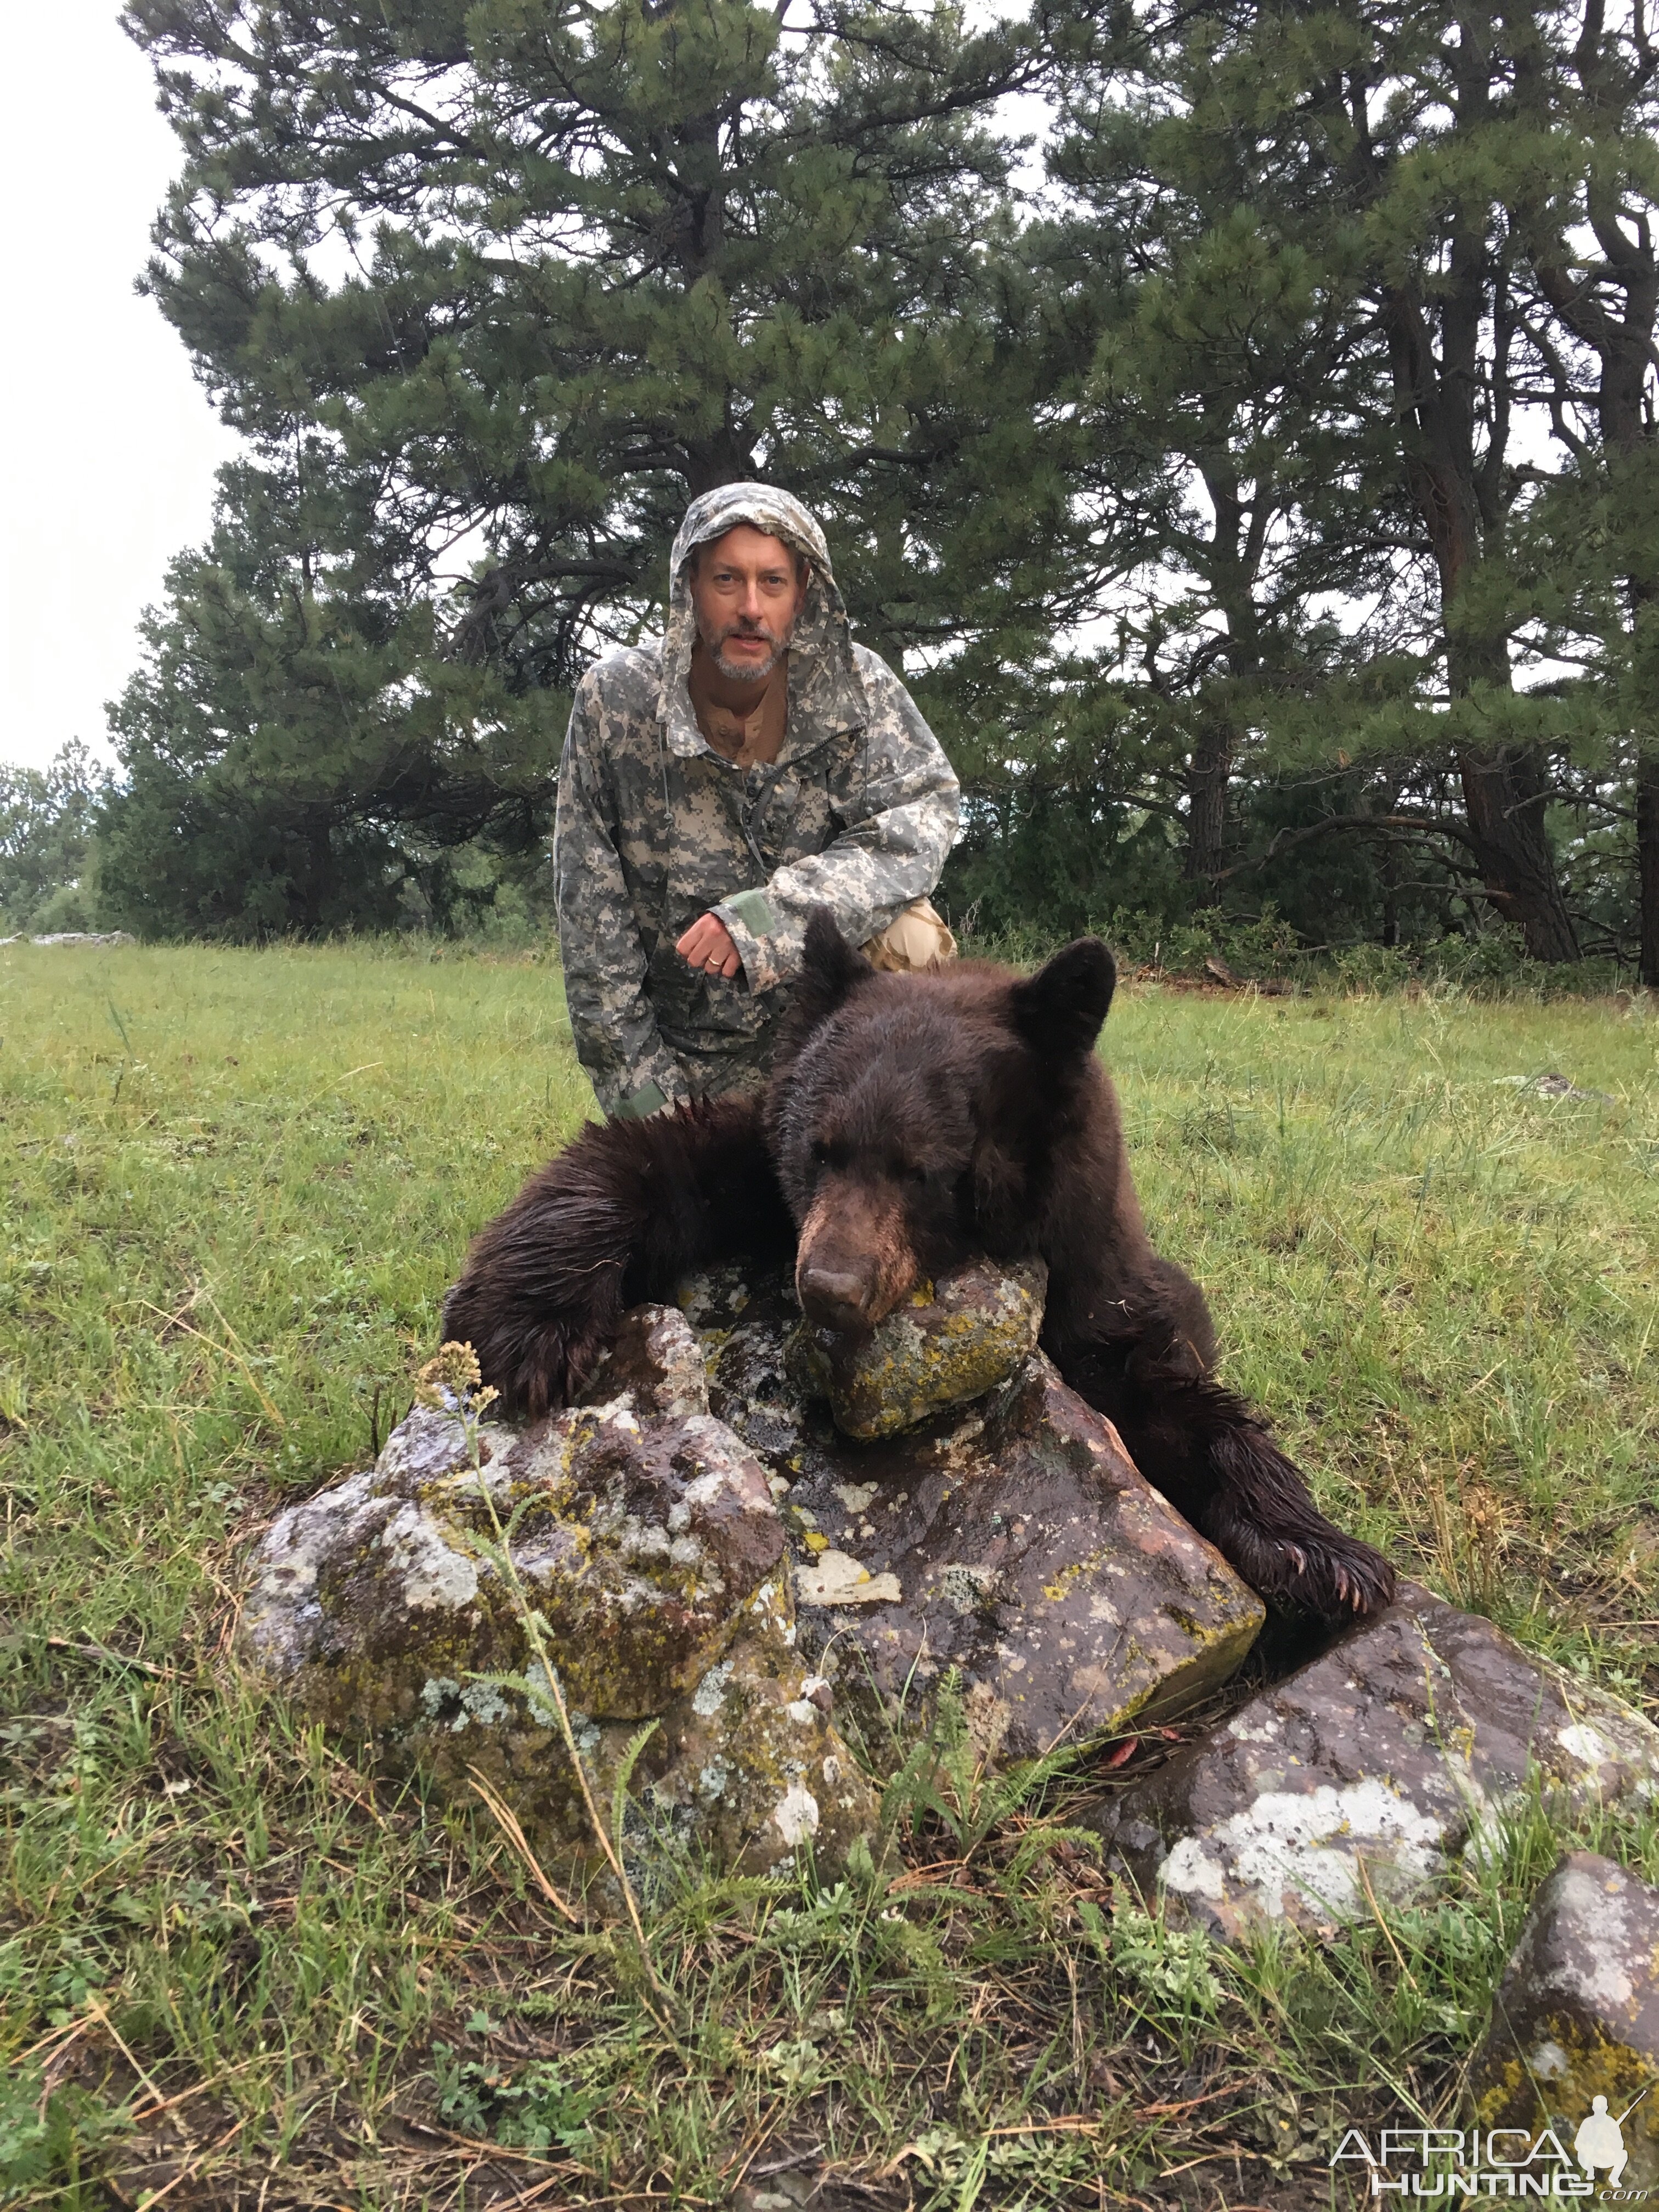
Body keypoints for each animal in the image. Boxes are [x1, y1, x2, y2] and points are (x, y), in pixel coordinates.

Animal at [442, 907, 1389, 1619]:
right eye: (821, 1151)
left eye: (926, 1171)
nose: (830, 1289)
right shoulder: (759, 1159)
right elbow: (642, 1159)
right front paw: (529, 1325)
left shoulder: (1094, 1271)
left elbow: (1159, 1383)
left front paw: (1321, 1553)